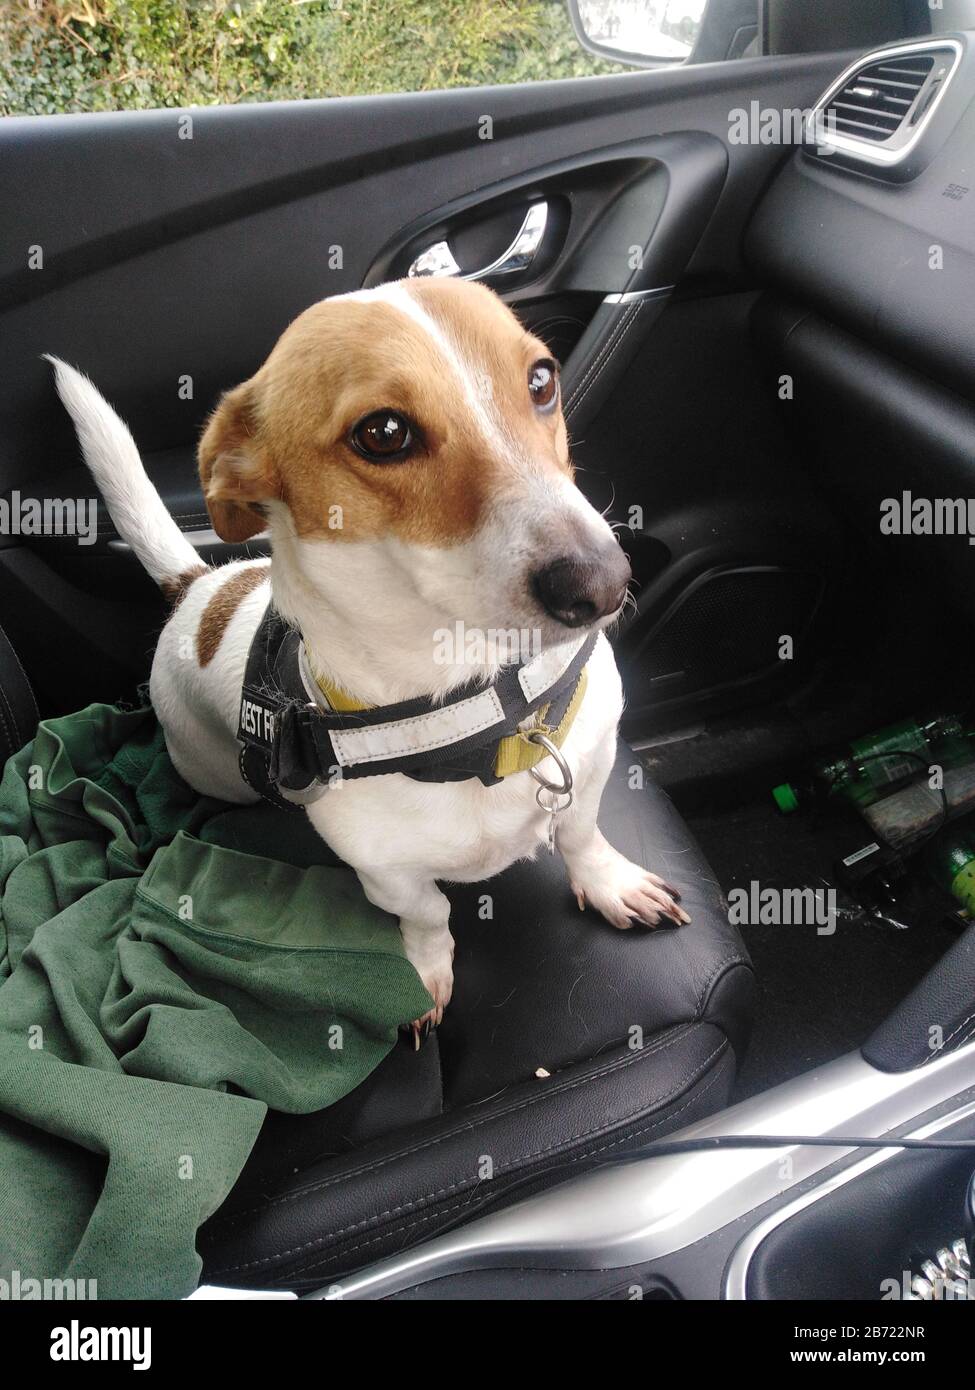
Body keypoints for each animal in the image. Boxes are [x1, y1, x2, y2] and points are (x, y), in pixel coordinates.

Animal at [49, 276, 687, 1039]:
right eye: (383, 433)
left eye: (541, 380)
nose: (601, 583)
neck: (477, 709)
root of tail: (198, 587)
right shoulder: (388, 874)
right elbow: (428, 916)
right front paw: (424, 977)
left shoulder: (590, 767)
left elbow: (583, 835)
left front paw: (609, 883)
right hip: (214, 772)